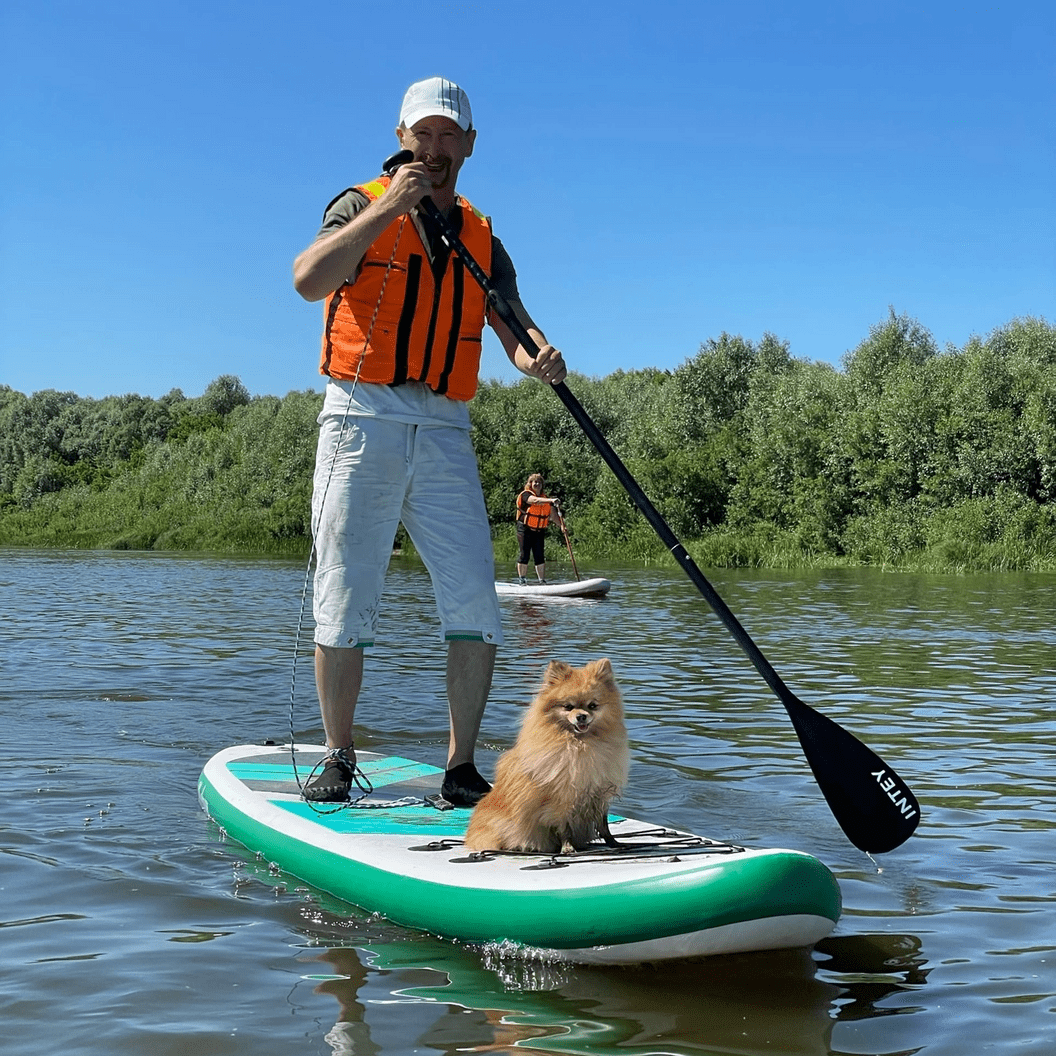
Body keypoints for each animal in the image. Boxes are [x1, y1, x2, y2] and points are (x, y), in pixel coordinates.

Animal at [462, 654, 625, 853]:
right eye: (568, 706)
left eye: (593, 705)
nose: (581, 716)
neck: (580, 744)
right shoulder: (562, 797)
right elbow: (564, 826)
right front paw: (567, 847)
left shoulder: (600, 792)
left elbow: (604, 824)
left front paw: (613, 842)